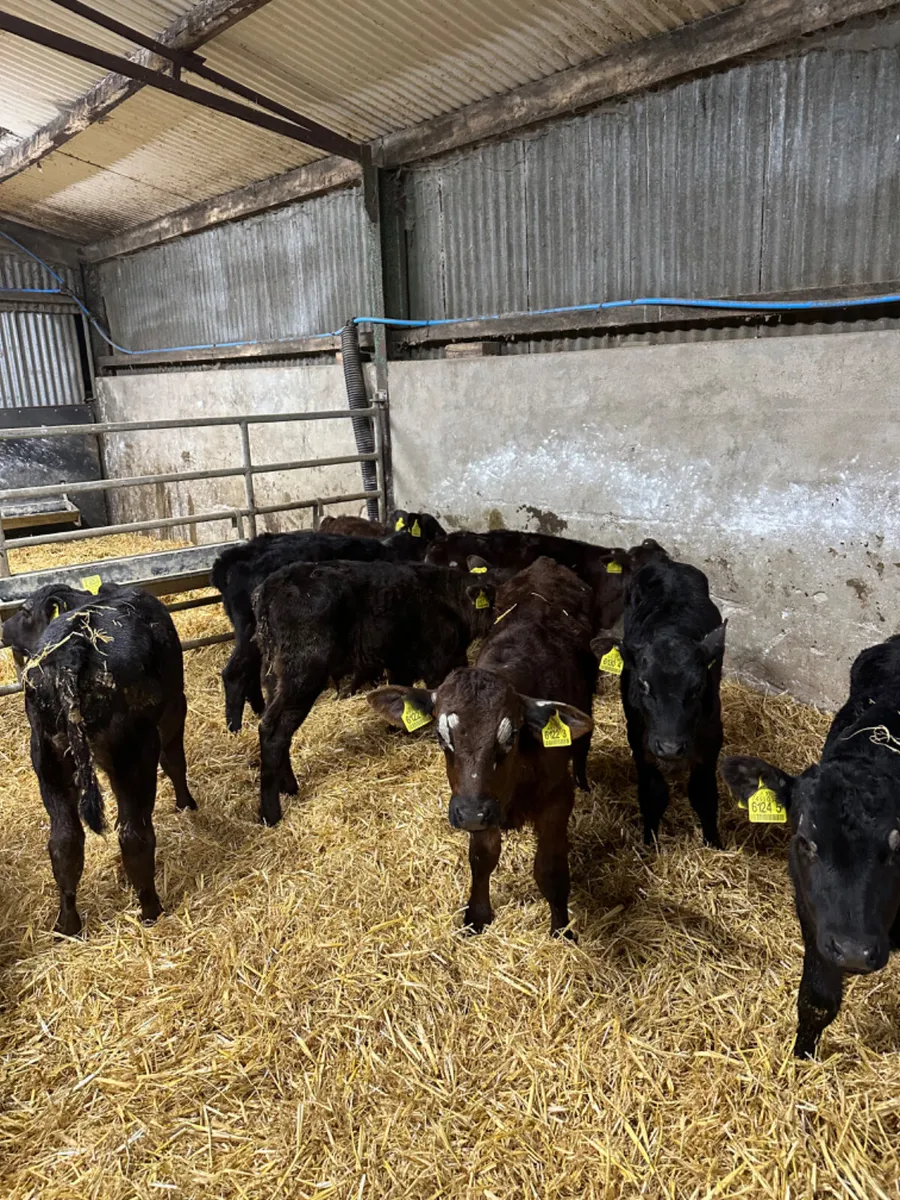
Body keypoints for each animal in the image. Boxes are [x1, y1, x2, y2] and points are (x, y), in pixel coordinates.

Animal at [2, 584, 196, 936]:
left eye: (24, 611)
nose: (2, 627)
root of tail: (73, 648)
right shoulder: (176, 707)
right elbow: (175, 761)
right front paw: (186, 803)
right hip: (133, 753)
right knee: (134, 834)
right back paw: (151, 911)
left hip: (47, 758)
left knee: (65, 841)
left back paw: (67, 925)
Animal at [253, 560, 497, 826]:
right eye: (490, 601)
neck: (447, 596)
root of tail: (275, 584)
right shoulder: (439, 661)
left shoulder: (400, 662)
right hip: (301, 675)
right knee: (274, 731)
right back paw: (271, 813)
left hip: (274, 676)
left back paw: (288, 786)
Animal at [368, 557, 595, 937]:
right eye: (441, 738)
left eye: (511, 736)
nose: (472, 814)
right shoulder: (477, 798)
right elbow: (481, 858)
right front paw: (476, 915)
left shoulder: (557, 799)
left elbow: (550, 869)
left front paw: (562, 928)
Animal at [593, 551, 727, 848]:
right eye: (643, 684)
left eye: (698, 687)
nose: (670, 747)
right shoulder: (639, 737)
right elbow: (652, 793)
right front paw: (649, 844)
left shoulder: (711, 735)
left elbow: (704, 794)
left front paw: (714, 843)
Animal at [722, 635, 900, 1058]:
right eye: (805, 841)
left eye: (896, 844)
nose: (853, 951)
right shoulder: (812, 916)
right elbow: (817, 1000)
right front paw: (802, 1056)